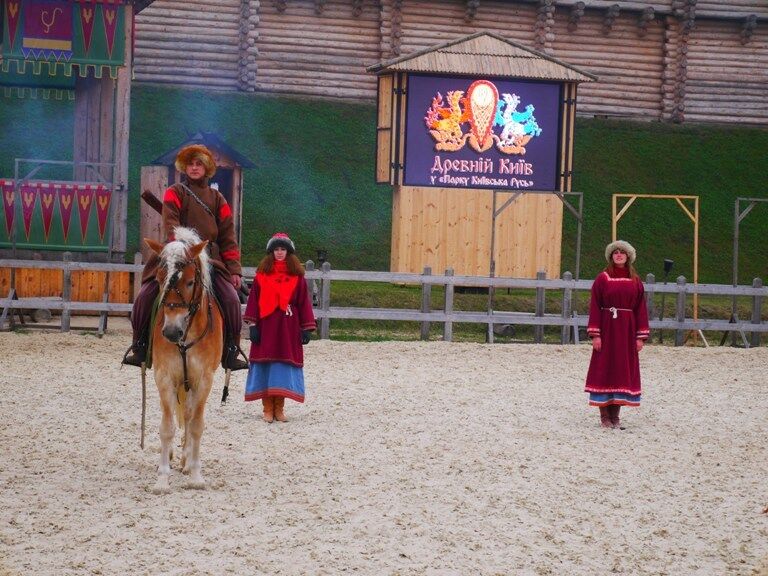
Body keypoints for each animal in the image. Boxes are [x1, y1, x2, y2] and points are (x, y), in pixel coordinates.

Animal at [144, 227, 224, 492]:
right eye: (159, 280)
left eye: (190, 282)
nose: (170, 332)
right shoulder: (165, 377)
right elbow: (166, 427)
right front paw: (162, 478)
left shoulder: (204, 379)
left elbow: (196, 425)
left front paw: (196, 476)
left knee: (188, 415)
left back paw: (187, 461)